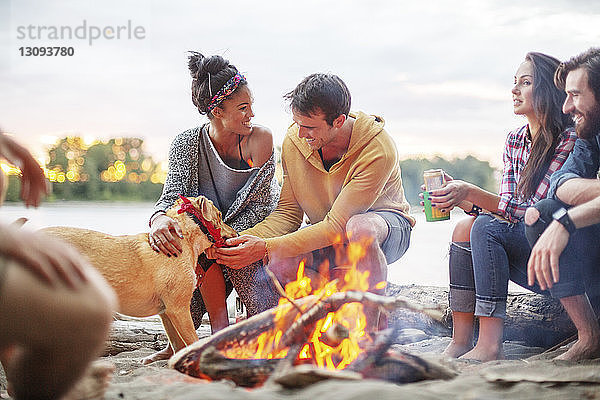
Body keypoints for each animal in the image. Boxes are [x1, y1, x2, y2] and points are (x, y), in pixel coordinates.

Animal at [40, 196, 234, 362]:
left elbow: (177, 345)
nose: (235, 232)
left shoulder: (166, 312)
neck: (185, 241)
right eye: (219, 216)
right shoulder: (178, 309)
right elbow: (193, 341)